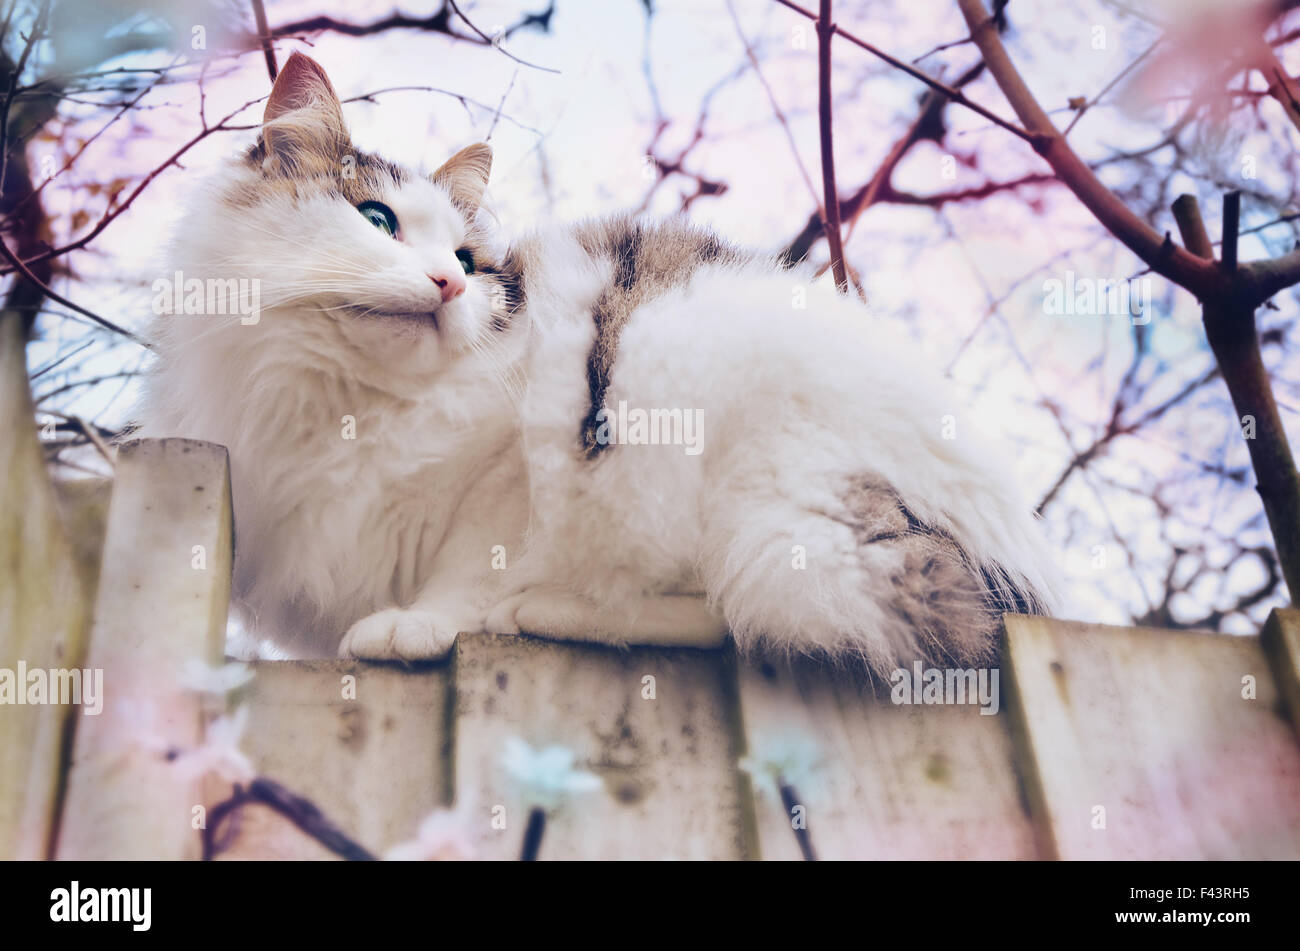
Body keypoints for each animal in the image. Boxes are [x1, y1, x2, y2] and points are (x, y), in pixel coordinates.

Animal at [134, 53, 1055, 675]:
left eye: (466, 262)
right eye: (376, 220)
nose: (447, 285)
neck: (346, 401)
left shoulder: (510, 466)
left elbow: (467, 566)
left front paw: (421, 625)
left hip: (753, 490)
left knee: (726, 616)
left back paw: (543, 609)